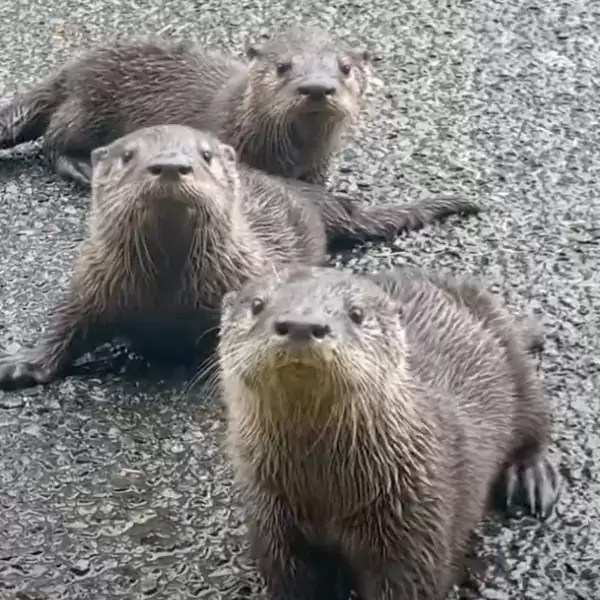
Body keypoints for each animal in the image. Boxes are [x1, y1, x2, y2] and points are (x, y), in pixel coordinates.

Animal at [0, 27, 376, 186]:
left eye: (345, 67)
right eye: (283, 66)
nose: (316, 87)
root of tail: (73, 69)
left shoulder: (317, 167)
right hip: (88, 108)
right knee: (53, 140)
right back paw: (82, 167)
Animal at [0, 124, 480, 392]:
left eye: (206, 155)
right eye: (128, 155)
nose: (171, 164)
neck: (165, 292)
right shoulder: (93, 279)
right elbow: (67, 322)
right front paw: (23, 365)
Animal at [217, 264, 564, 600]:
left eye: (356, 313)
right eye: (257, 304)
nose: (302, 324)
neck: (327, 490)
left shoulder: (417, 527)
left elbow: (411, 583)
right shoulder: (272, 523)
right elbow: (293, 581)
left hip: (515, 363)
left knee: (534, 425)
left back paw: (530, 477)